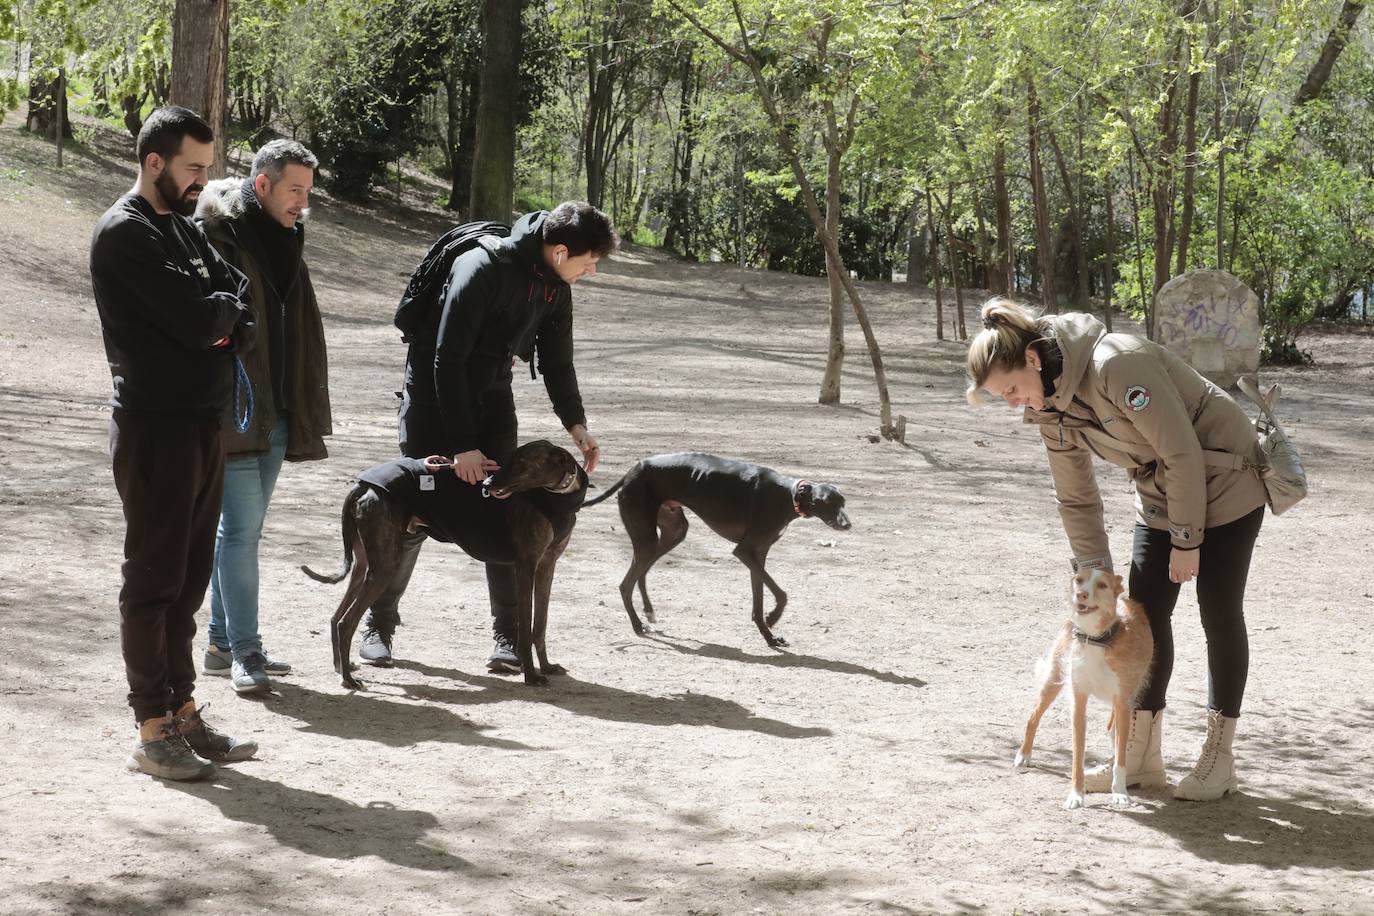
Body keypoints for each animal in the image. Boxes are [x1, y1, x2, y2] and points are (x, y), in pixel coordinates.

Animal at [1016, 574, 1154, 807]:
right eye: (1079, 580)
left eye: (1102, 585)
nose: (1081, 594)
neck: (1097, 640)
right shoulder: (1078, 701)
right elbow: (1077, 757)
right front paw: (1076, 795)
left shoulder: (1123, 703)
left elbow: (1121, 757)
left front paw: (1120, 792)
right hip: (1053, 679)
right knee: (1033, 717)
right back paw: (1023, 755)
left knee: (1113, 732)